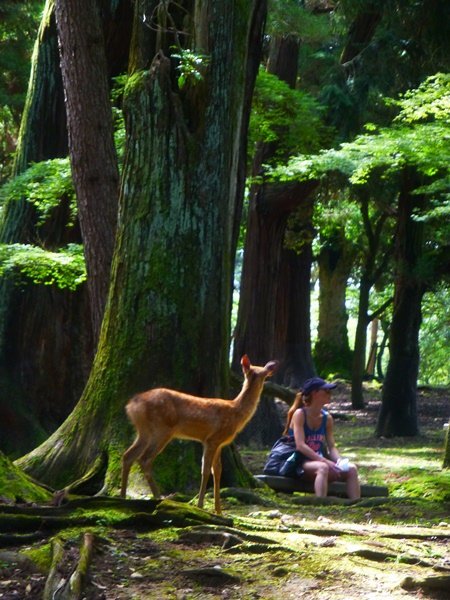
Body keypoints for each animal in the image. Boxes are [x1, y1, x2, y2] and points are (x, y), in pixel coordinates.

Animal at [119, 354, 276, 512]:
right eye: (264, 374)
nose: (270, 371)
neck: (236, 412)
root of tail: (130, 405)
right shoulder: (212, 439)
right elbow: (205, 470)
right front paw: (200, 505)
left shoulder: (219, 443)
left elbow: (217, 471)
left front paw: (219, 510)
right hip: (161, 429)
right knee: (145, 459)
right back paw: (158, 497)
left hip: (144, 431)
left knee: (128, 455)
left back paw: (123, 496)